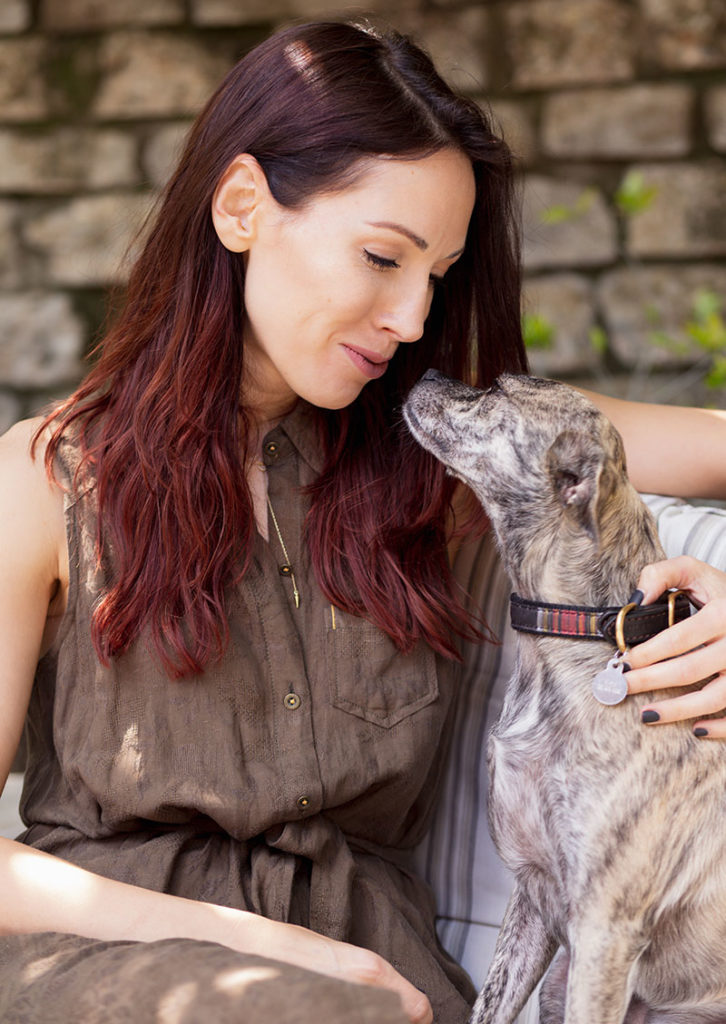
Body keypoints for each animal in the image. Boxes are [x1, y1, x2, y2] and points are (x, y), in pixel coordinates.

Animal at [399, 370, 724, 1024]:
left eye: (497, 390)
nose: (427, 372)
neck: (575, 637)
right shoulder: (531, 896)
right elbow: (488, 1009)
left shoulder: (604, 931)